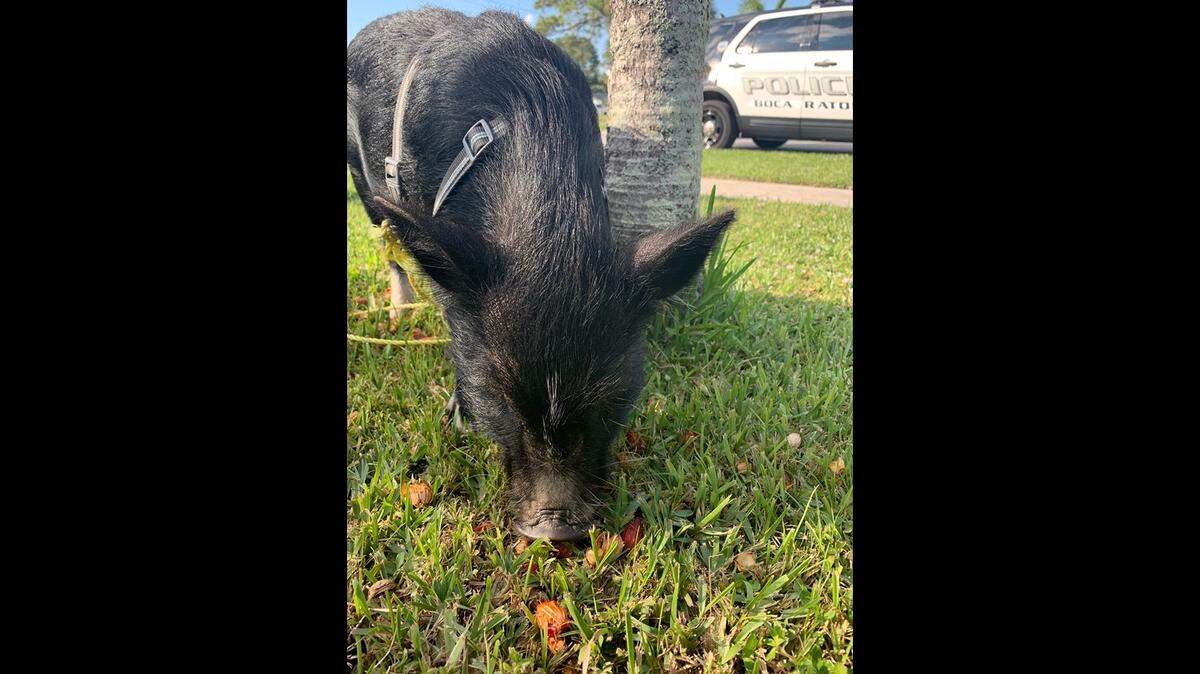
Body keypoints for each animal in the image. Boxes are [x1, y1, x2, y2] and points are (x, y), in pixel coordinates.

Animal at [347, 8, 734, 540]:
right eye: (499, 398)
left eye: (611, 395)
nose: (555, 532)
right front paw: (459, 415)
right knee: (389, 243)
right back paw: (399, 314)